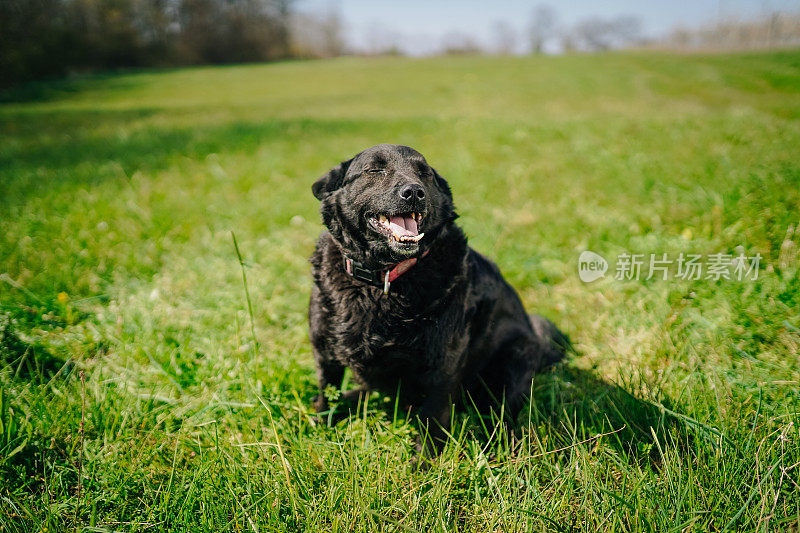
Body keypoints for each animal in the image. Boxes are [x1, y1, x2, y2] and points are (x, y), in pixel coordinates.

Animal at [308, 143, 568, 456]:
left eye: (424, 173)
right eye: (374, 170)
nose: (414, 192)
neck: (383, 279)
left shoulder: (443, 364)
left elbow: (431, 417)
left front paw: (425, 462)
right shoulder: (325, 352)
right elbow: (327, 393)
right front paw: (319, 428)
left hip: (514, 360)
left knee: (503, 415)